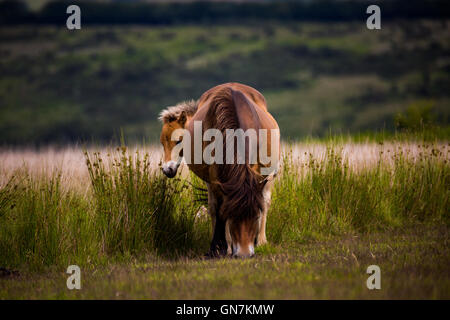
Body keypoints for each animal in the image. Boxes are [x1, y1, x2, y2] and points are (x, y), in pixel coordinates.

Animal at [158, 82, 278, 258]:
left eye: (179, 141)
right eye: (162, 143)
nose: (168, 169)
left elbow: (260, 203)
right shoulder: (215, 178)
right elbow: (219, 209)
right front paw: (224, 246)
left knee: (266, 200)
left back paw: (261, 240)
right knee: (214, 206)